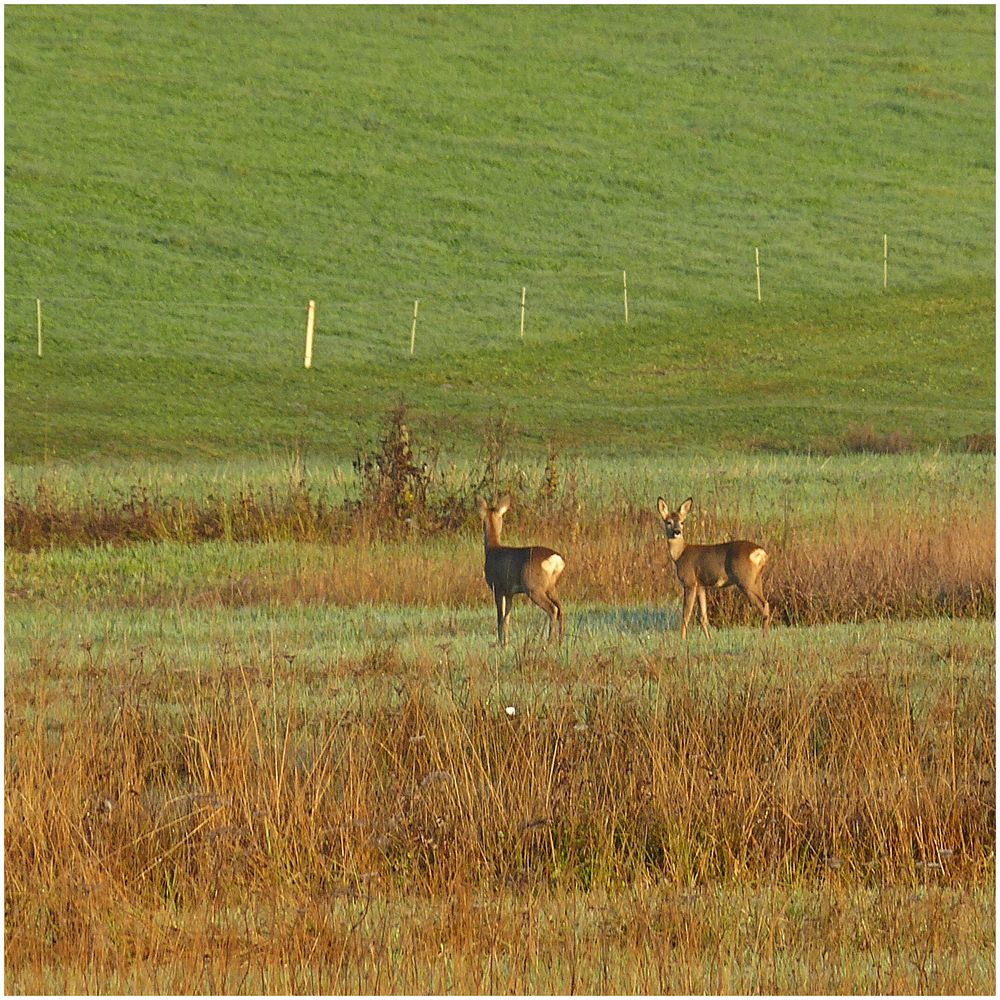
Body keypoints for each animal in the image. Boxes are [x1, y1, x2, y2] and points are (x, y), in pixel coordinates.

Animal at [480, 494, 568, 648]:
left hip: (533, 587)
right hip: (550, 586)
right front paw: (506, 643)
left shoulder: (498, 587)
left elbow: (500, 618)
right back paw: (560, 642)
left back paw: (548, 643)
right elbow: (507, 618)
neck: (492, 550)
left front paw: (501, 643)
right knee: (561, 609)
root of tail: (556, 559)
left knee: (553, 609)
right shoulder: (509, 592)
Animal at [656, 494, 772, 640]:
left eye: (682, 522)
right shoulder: (701, 585)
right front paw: (709, 639)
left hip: (746, 580)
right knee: (766, 602)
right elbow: (703, 616)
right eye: (668, 522)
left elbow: (686, 614)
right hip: (757, 579)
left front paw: (682, 639)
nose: (677, 532)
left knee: (764, 604)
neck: (680, 555)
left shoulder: (690, 582)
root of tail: (761, 553)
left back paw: (764, 637)